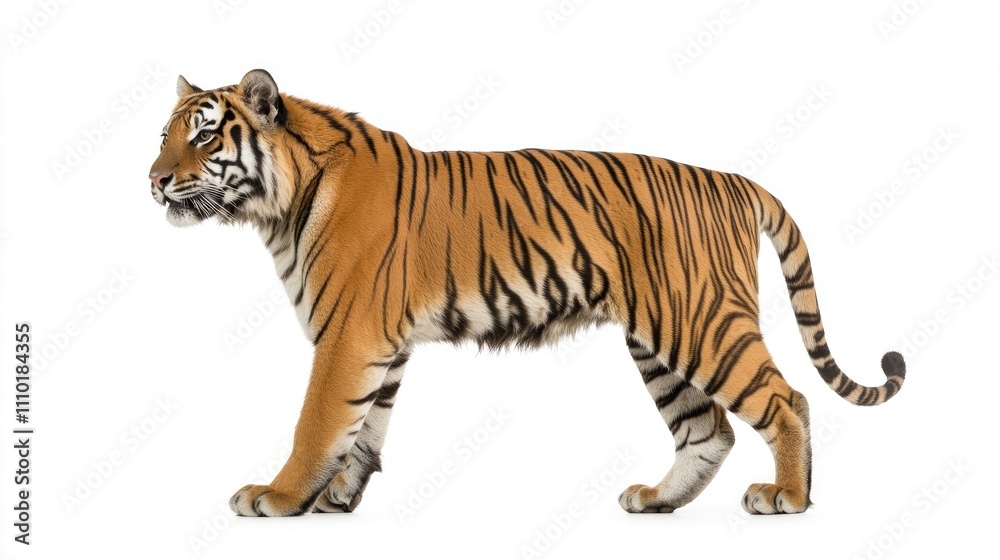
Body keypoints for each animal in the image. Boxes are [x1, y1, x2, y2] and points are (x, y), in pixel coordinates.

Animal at [148, 69, 905, 517]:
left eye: (205, 134)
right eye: (164, 134)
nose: (153, 180)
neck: (277, 205)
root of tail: (735, 180)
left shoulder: (349, 334)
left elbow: (318, 421)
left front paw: (277, 497)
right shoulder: (382, 341)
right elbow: (365, 427)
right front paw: (338, 498)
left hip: (701, 322)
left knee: (785, 400)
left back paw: (789, 497)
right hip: (657, 341)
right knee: (707, 427)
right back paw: (657, 500)